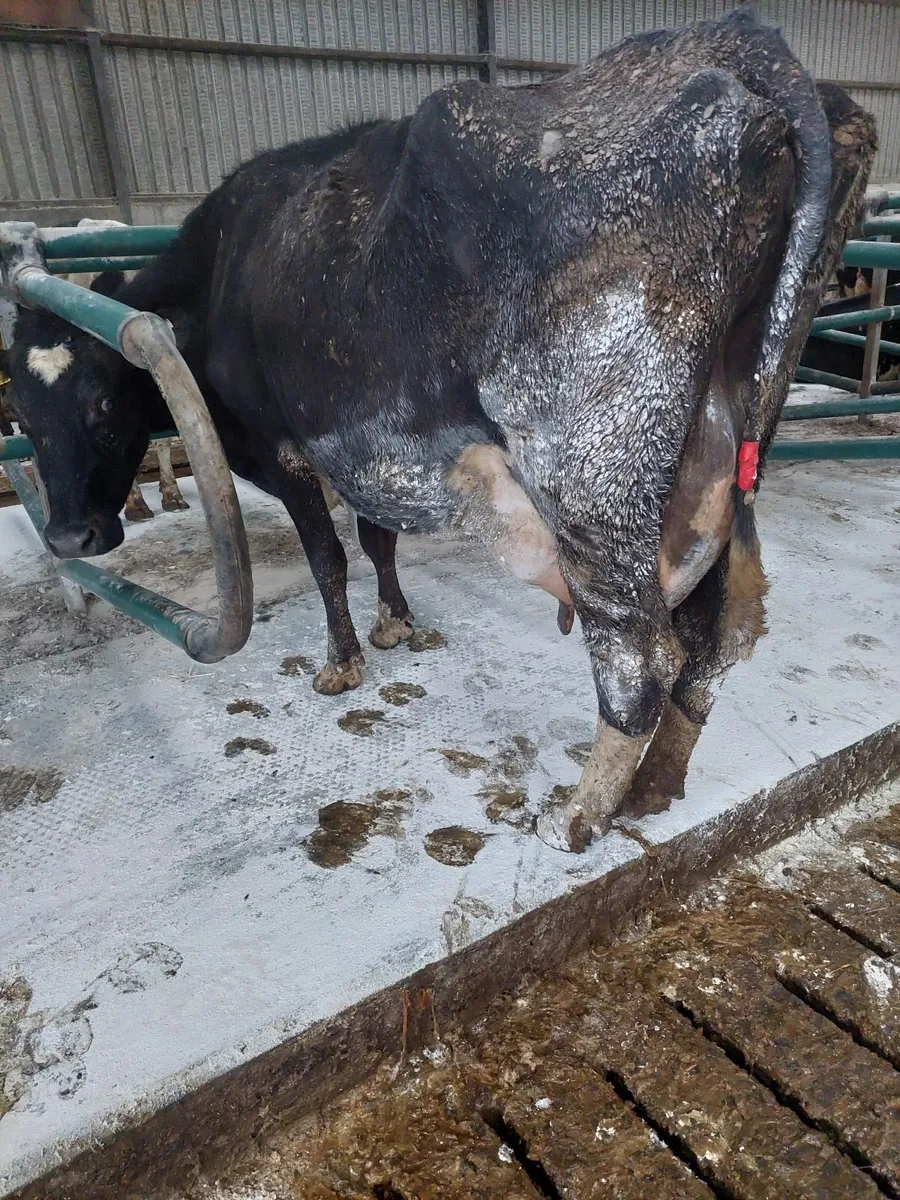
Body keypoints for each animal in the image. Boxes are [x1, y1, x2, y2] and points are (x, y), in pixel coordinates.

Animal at [3, 9, 876, 848]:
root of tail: (735, 40)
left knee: (641, 653)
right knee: (717, 636)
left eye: (102, 401)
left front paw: (343, 662)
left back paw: (578, 817)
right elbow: (377, 539)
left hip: (592, 471)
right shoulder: (374, 450)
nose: (72, 537)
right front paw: (397, 623)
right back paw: (655, 788)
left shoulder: (284, 451)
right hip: (723, 459)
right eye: (21, 409)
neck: (222, 269)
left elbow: (327, 556)